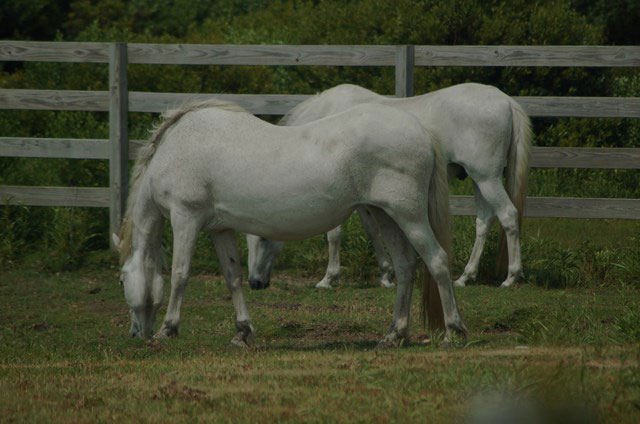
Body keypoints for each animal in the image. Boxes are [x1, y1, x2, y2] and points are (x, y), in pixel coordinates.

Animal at [114, 97, 464, 346]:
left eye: (121, 279)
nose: (134, 334)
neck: (177, 149)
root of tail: (421, 130)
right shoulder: (220, 229)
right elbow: (233, 278)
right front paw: (242, 331)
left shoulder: (185, 217)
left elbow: (180, 274)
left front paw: (168, 329)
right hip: (385, 215)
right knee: (405, 267)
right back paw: (394, 334)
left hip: (409, 215)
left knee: (436, 260)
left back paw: (453, 331)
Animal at [248, 81, 532, 290]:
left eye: (262, 237)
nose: (255, 282)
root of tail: (506, 101)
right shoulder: (362, 199)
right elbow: (373, 231)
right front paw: (386, 275)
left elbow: (334, 234)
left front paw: (328, 279)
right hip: (478, 179)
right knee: (483, 222)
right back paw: (465, 277)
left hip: (487, 178)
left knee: (508, 216)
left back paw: (510, 277)